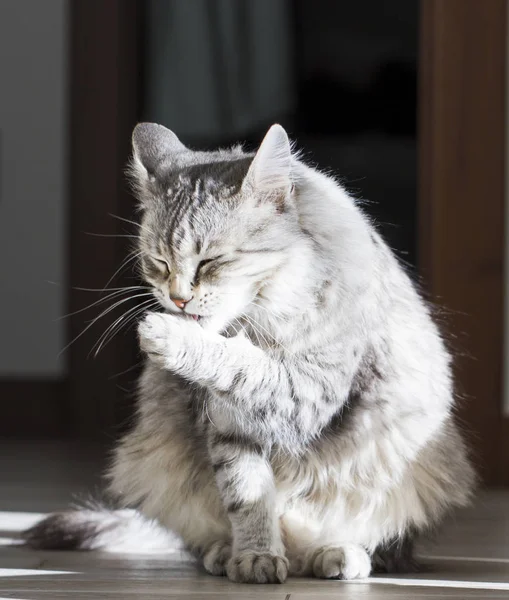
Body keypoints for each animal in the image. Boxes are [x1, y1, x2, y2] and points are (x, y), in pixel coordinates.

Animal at [25, 119, 474, 584]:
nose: (177, 300)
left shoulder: (308, 391)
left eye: (211, 261)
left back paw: (337, 554)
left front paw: (170, 335)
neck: (262, 320)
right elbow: (247, 495)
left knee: (371, 539)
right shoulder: (230, 427)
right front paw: (256, 556)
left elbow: (245, 366)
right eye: (159, 263)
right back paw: (228, 552)